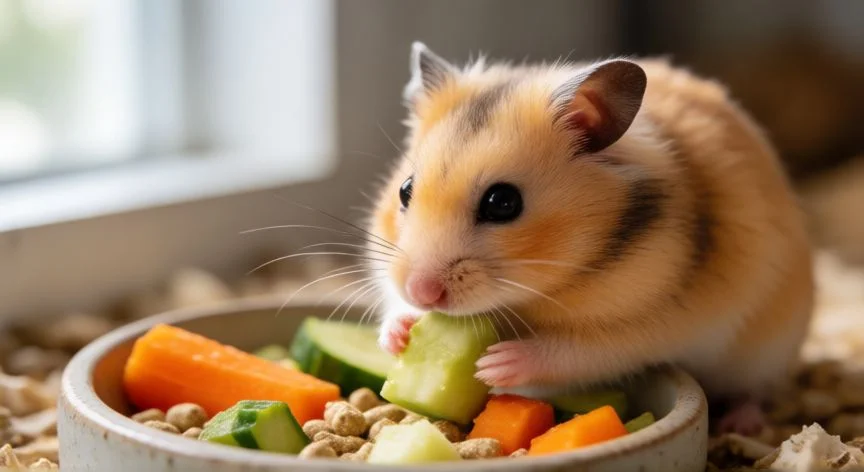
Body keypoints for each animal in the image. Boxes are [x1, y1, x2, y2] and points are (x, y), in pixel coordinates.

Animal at [366, 42, 814, 434]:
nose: (421, 293)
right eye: (405, 189)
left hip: (768, 349)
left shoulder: (652, 322)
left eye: (502, 203)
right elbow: (391, 302)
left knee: (756, 391)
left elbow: (581, 351)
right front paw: (399, 334)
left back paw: (741, 424)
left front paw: (495, 364)